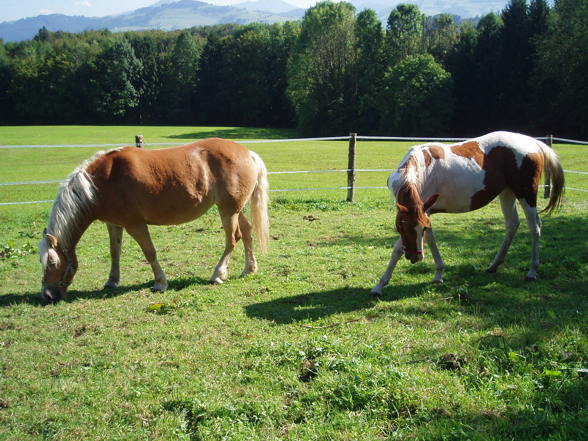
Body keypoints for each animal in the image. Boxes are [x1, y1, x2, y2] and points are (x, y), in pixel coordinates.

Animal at [40, 138, 270, 302]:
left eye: (52, 262)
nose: (47, 296)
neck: (100, 183)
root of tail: (247, 153)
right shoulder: (114, 224)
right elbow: (115, 252)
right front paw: (112, 281)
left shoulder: (135, 225)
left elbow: (149, 252)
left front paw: (160, 282)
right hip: (234, 209)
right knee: (247, 233)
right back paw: (249, 269)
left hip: (228, 211)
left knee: (232, 239)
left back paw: (218, 275)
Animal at [372, 131, 564, 296]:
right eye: (402, 227)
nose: (415, 257)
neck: (422, 167)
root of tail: (532, 142)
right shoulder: (426, 213)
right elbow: (431, 241)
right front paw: (438, 274)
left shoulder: (423, 213)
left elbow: (397, 249)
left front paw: (379, 285)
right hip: (507, 192)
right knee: (512, 224)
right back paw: (494, 265)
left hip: (526, 193)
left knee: (534, 226)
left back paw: (532, 271)